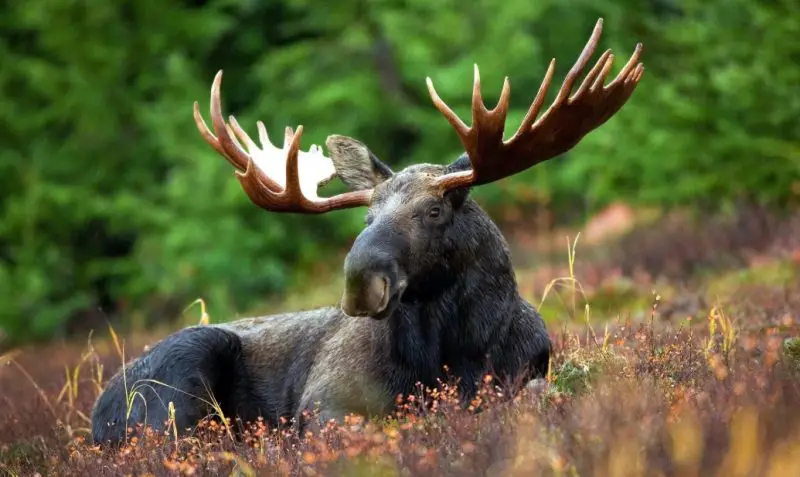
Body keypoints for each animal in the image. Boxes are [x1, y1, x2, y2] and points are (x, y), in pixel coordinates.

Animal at [91, 18, 644, 445]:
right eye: (367, 218)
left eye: (434, 211)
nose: (360, 282)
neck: (456, 351)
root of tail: (97, 414)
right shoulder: (325, 402)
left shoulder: (528, 373)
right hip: (181, 376)